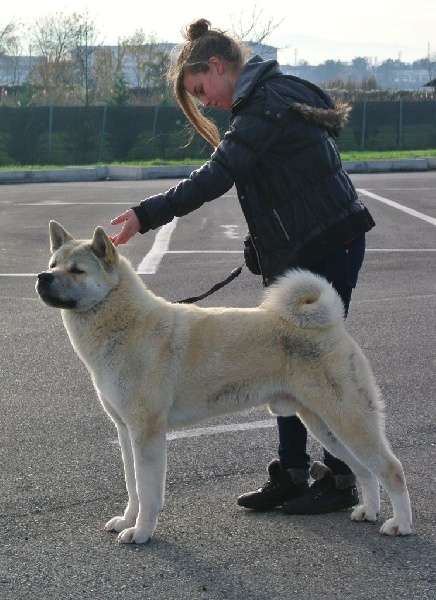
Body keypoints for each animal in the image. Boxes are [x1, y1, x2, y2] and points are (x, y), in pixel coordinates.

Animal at [35, 221, 412, 544]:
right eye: (53, 264)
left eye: (77, 271)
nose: (42, 277)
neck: (125, 325)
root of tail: (331, 326)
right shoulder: (126, 432)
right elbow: (133, 486)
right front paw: (127, 521)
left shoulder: (147, 433)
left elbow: (148, 491)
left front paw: (141, 533)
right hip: (324, 426)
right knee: (364, 471)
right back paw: (368, 510)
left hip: (348, 420)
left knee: (391, 469)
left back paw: (400, 524)